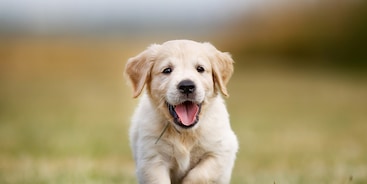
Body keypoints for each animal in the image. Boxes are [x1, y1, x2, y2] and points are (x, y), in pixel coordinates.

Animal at [124, 39, 239, 183]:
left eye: (200, 69)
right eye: (167, 70)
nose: (187, 86)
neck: (185, 133)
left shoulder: (221, 151)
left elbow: (199, 175)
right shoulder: (152, 159)